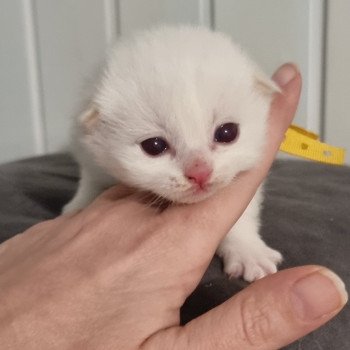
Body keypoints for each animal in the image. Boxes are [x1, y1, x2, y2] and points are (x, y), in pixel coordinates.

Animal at [63, 26, 282, 282]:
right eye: (154, 146)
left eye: (227, 132)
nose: (200, 173)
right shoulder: (90, 157)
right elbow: (90, 183)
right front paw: (78, 207)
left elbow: (241, 214)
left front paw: (248, 251)